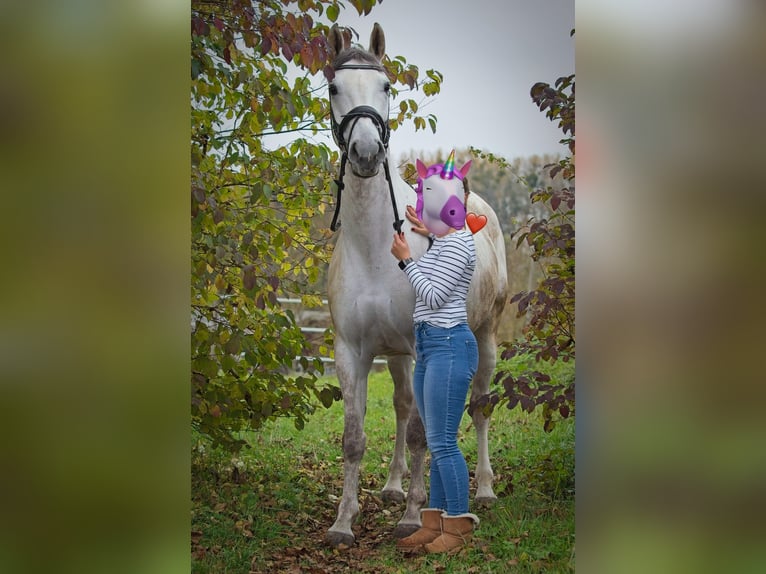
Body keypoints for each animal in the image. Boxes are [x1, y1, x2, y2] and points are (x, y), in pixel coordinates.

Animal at [326, 22, 510, 552]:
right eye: (334, 88)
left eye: (386, 86)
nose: (366, 154)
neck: (374, 247)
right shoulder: (353, 351)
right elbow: (355, 437)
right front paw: (343, 523)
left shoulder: (423, 346)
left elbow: (422, 435)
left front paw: (412, 518)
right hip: (396, 356)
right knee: (404, 406)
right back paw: (392, 485)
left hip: (485, 339)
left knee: (479, 408)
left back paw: (483, 490)